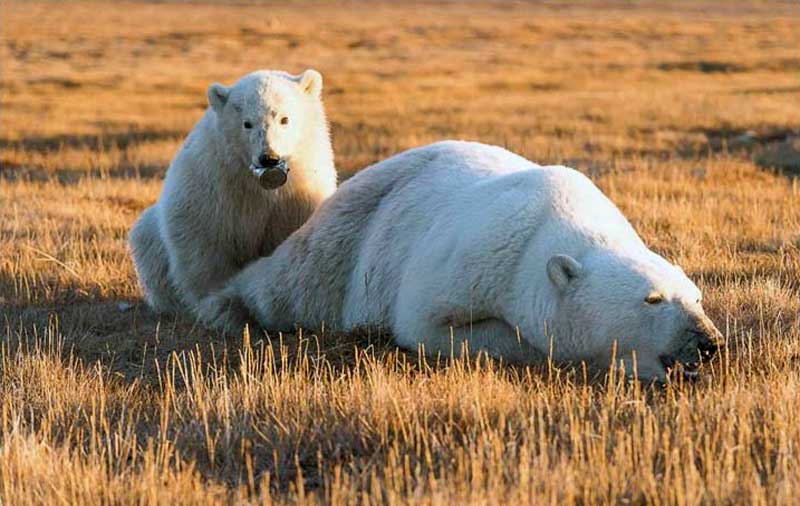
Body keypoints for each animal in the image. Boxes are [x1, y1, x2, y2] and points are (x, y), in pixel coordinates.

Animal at [129, 69, 336, 318]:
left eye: (284, 118)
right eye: (247, 123)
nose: (269, 158)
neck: (258, 185)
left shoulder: (296, 193)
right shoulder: (214, 184)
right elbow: (202, 243)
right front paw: (215, 302)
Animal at [201, 141, 722, 381]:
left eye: (696, 297)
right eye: (653, 299)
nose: (708, 342)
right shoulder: (480, 256)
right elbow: (428, 322)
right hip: (352, 233)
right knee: (293, 281)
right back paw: (227, 305)